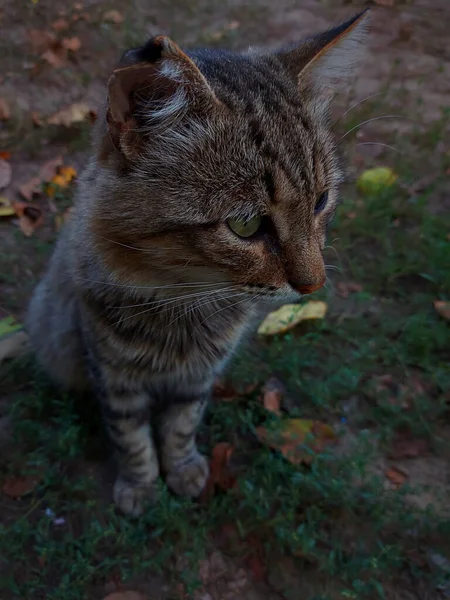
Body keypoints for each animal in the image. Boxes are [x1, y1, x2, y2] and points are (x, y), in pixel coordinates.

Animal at [26, 10, 370, 516]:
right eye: (246, 224)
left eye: (321, 201)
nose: (314, 285)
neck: (183, 298)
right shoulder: (112, 371)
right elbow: (130, 435)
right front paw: (140, 484)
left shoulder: (199, 375)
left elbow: (182, 424)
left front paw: (183, 468)